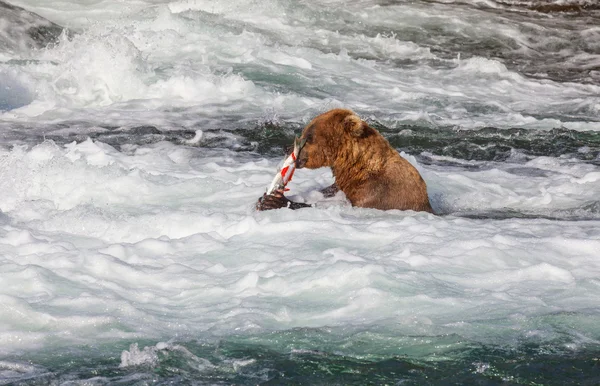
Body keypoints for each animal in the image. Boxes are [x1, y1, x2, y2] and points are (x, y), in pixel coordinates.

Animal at [255, 108, 434, 213]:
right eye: (305, 131)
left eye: (309, 136)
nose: (286, 148)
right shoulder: (341, 185)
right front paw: (264, 198)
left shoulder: (378, 194)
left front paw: (275, 201)